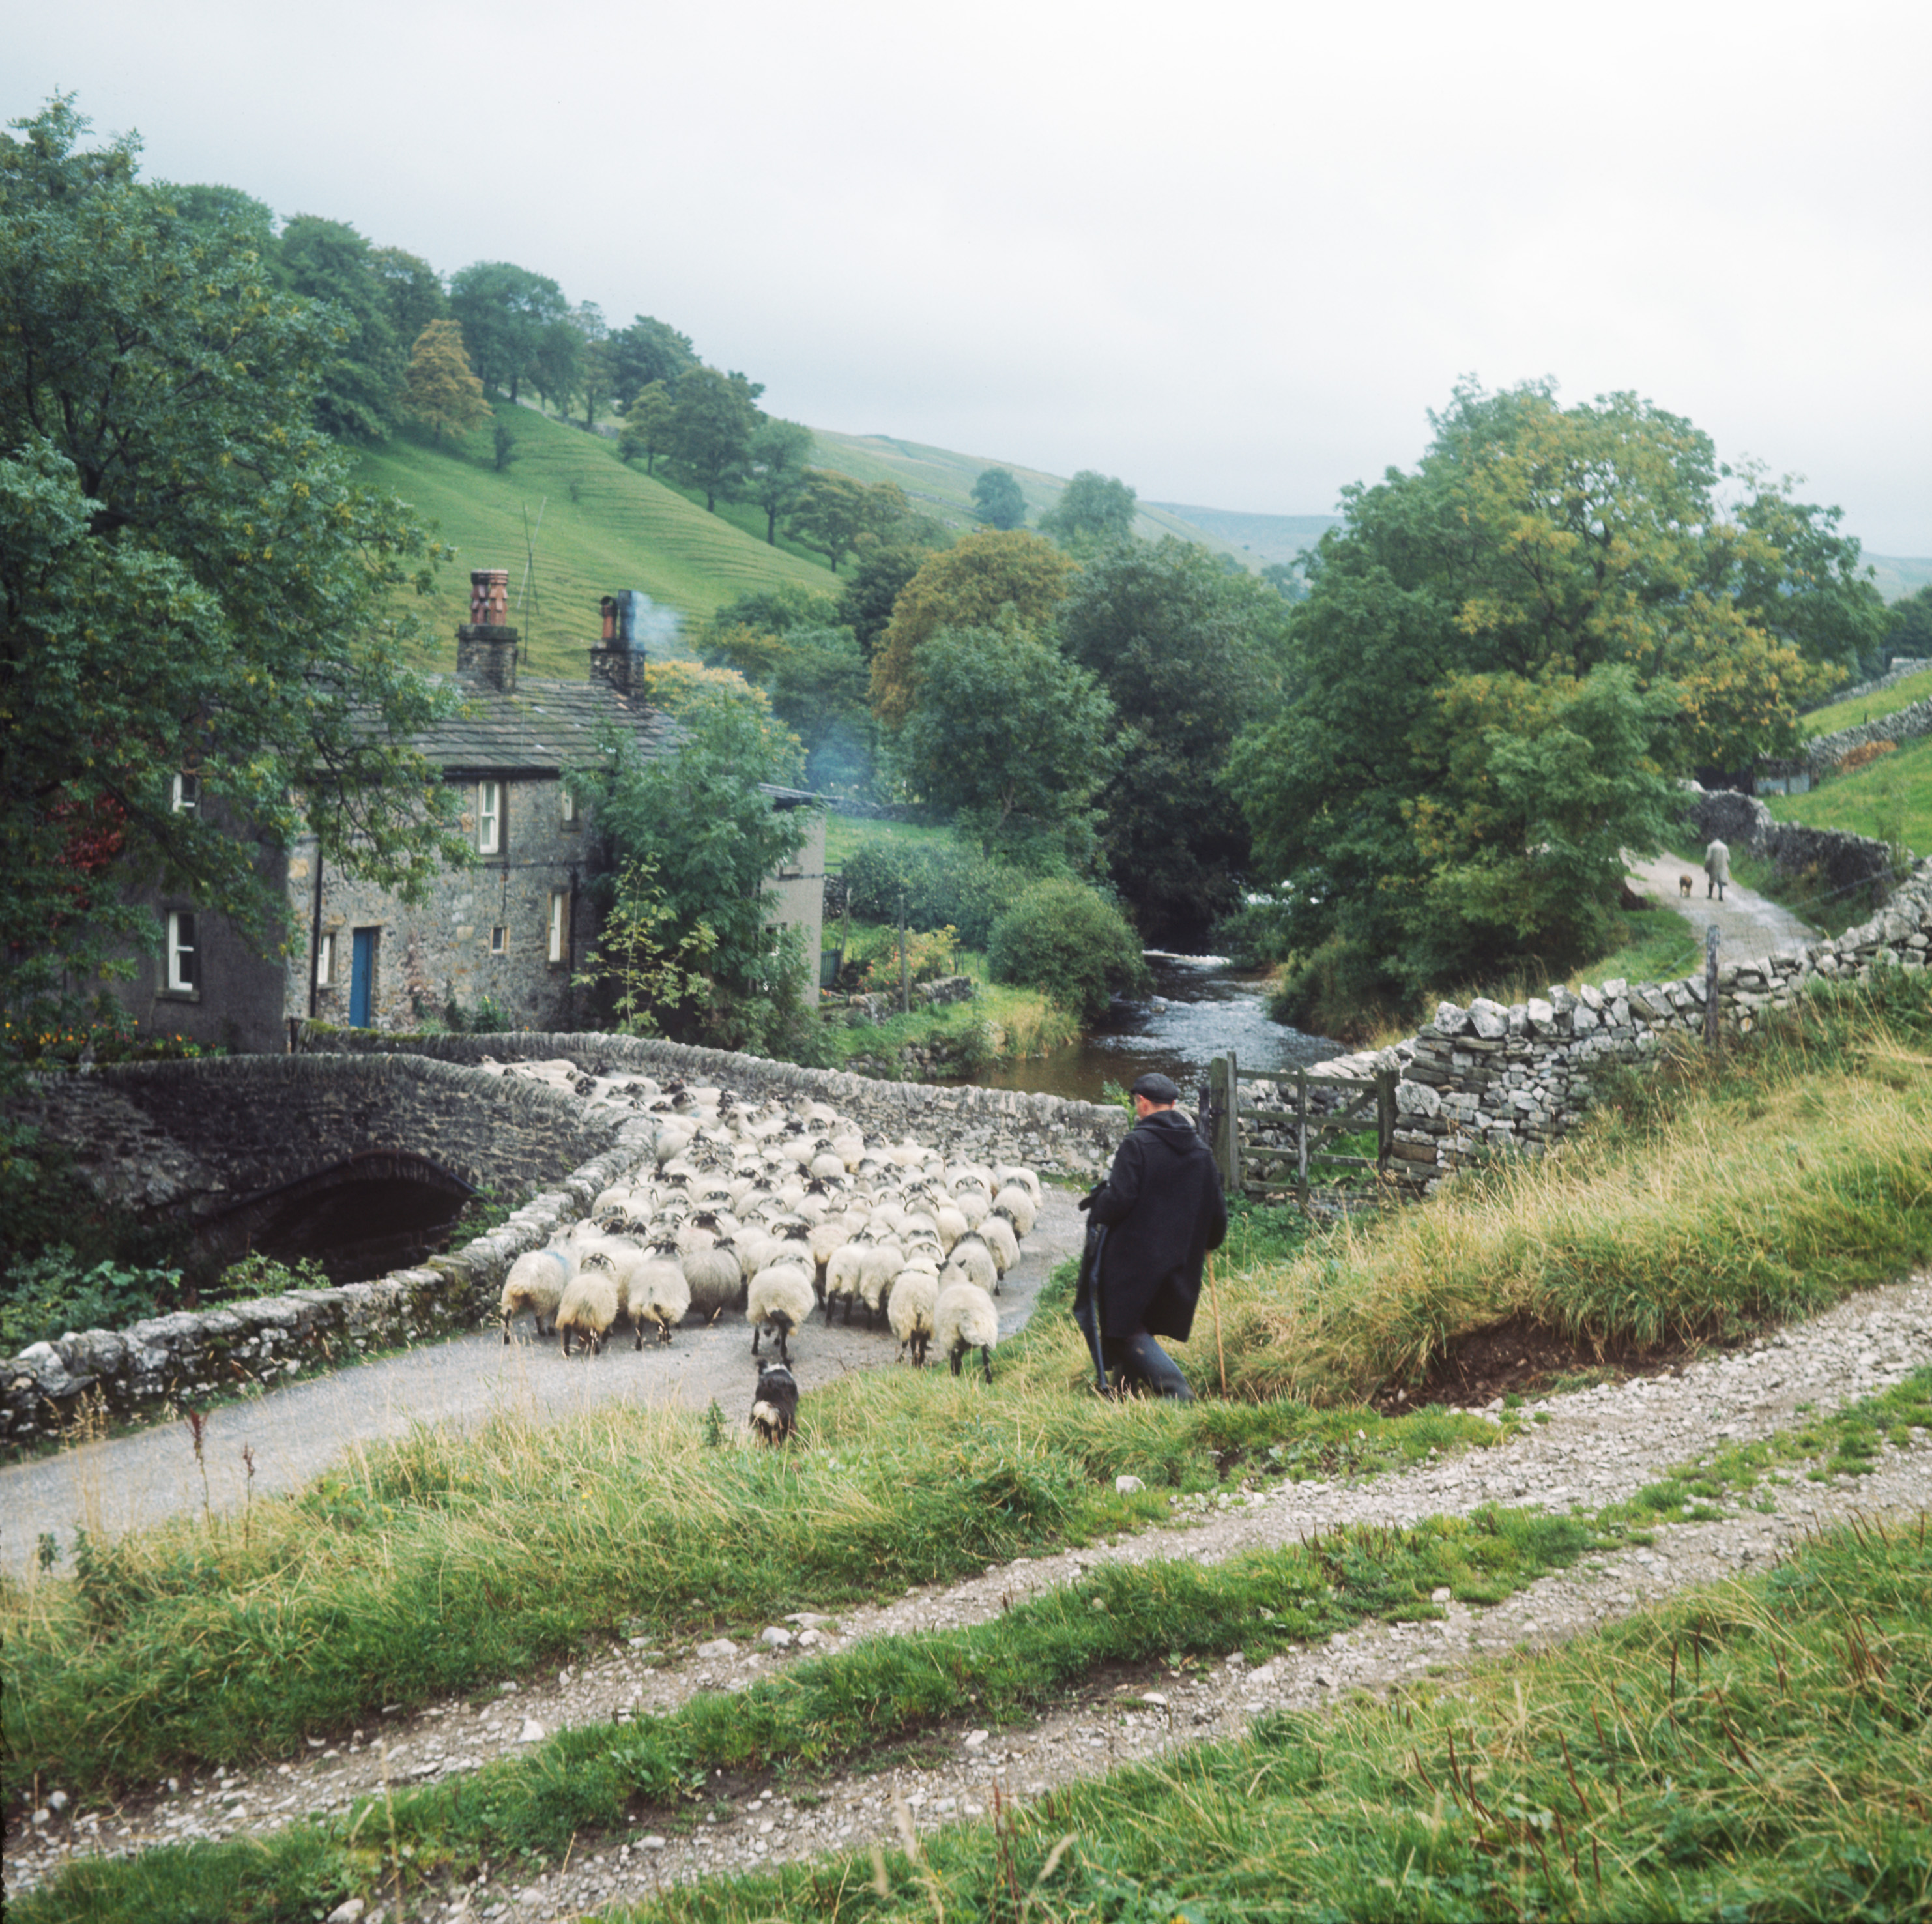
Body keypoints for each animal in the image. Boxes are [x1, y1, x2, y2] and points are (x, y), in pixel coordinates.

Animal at [931, 1275, 996, 1383]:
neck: (955, 1280)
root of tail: (968, 1314)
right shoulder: (964, 1342)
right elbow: (960, 1355)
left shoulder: (957, 1340)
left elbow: (956, 1356)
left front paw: (956, 1370)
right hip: (986, 1331)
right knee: (986, 1358)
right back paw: (989, 1379)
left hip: (949, 1335)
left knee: (952, 1355)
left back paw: (954, 1374)